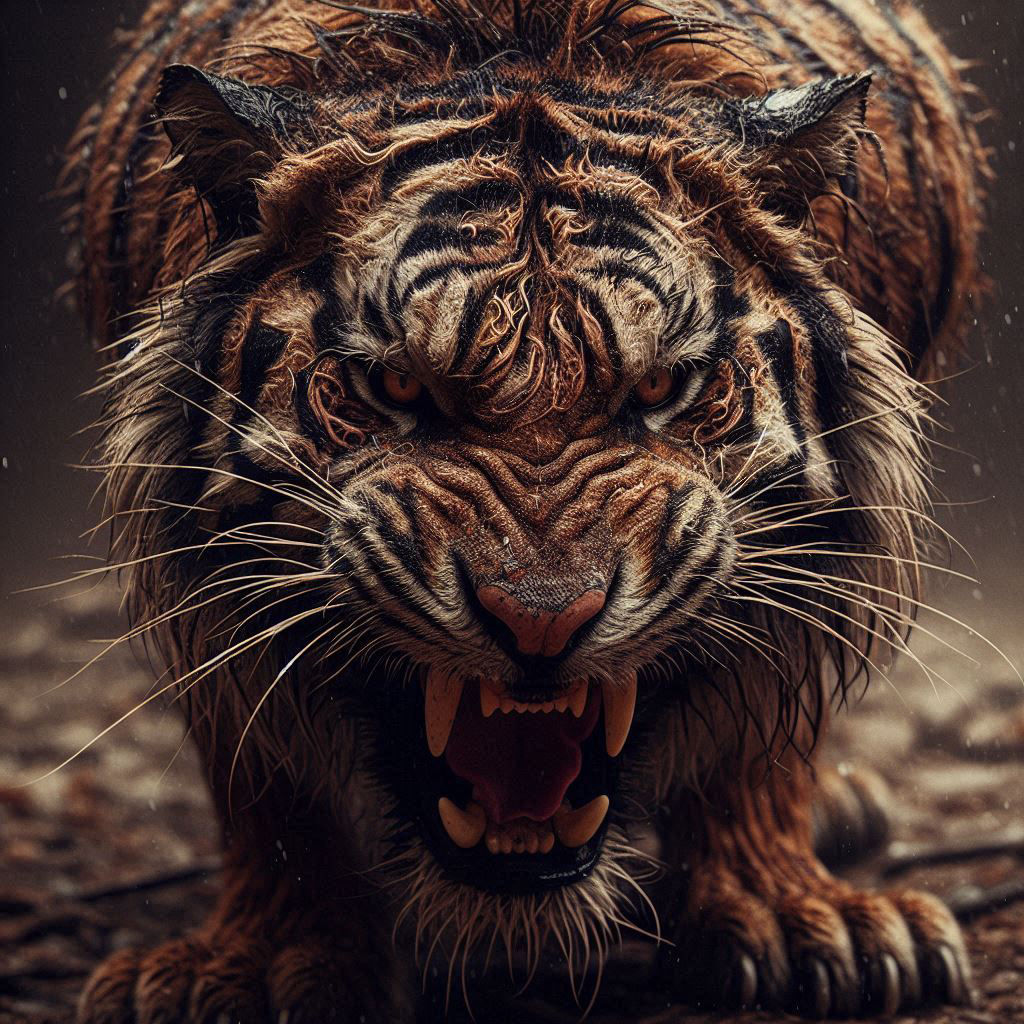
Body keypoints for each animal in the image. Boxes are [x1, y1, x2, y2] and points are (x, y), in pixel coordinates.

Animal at [65, 0, 988, 1020]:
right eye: (394, 386)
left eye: (661, 387)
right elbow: (264, 774)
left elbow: (757, 733)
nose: (541, 624)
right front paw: (258, 964)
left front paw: (799, 919)